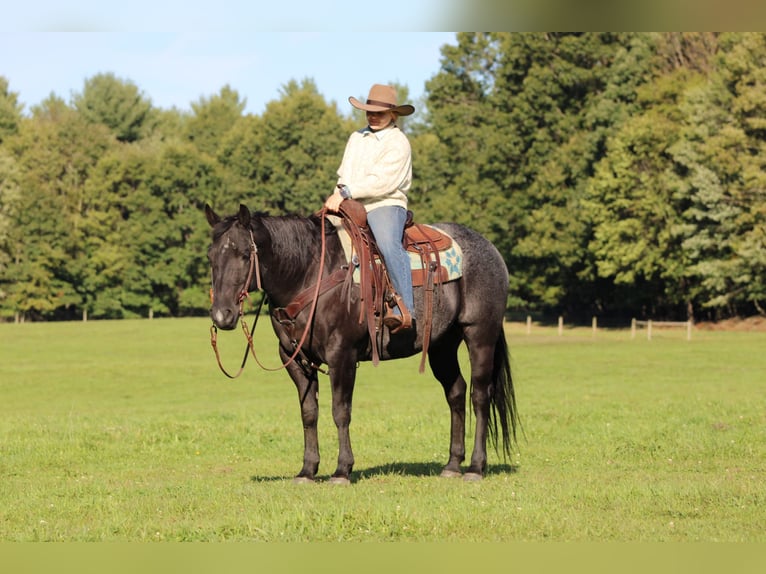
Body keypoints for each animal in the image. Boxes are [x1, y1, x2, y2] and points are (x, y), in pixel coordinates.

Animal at [205, 203, 519, 484]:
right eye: (210, 256)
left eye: (244, 254)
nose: (222, 315)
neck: (311, 274)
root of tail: (490, 249)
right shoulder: (294, 359)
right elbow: (309, 413)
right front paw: (307, 470)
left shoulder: (341, 356)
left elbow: (340, 411)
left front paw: (342, 470)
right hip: (442, 345)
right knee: (456, 392)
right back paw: (452, 465)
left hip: (480, 335)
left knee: (480, 395)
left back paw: (475, 467)